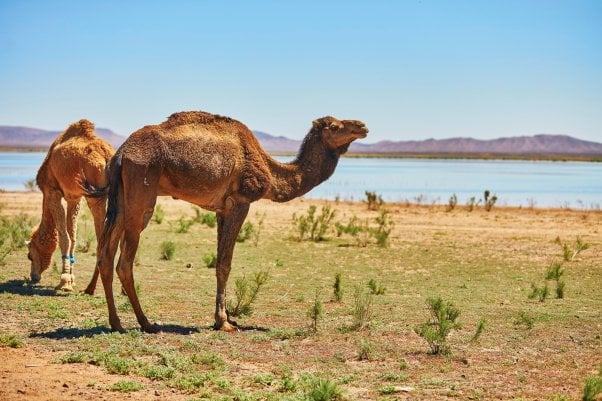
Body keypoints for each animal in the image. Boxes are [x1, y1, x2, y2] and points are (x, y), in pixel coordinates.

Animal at [27, 118, 113, 290]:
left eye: (30, 256)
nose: (34, 277)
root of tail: (106, 155)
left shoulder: (52, 191)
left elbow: (64, 237)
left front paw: (65, 281)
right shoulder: (74, 197)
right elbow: (73, 236)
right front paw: (71, 279)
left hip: (95, 195)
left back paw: (91, 286)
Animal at [95, 110, 366, 332]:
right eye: (334, 126)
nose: (362, 125)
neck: (271, 172)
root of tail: (121, 153)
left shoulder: (221, 210)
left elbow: (219, 262)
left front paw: (225, 318)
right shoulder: (241, 201)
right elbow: (225, 263)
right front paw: (224, 322)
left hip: (121, 199)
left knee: (105, 257)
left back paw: (117, 323)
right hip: (142, 193)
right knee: (124, 263)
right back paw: (146, 322)